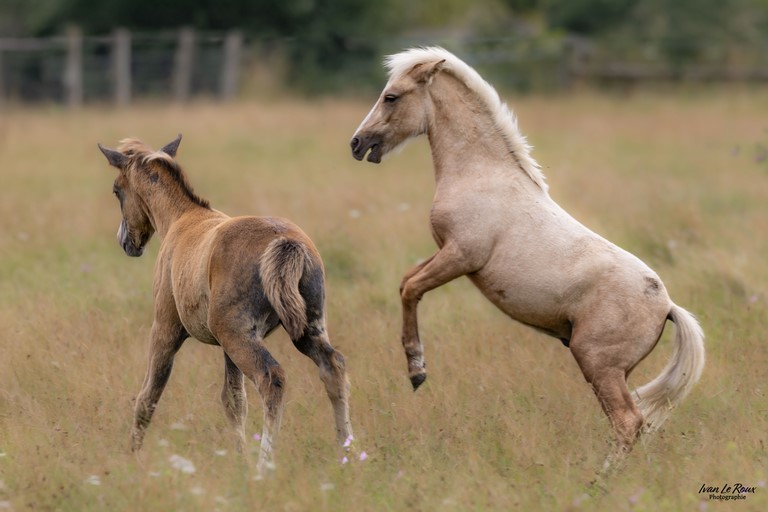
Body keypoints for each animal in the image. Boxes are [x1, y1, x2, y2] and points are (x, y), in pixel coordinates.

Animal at [97, 135, 353, 475]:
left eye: (117, 190)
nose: (126, 242)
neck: (183, 218)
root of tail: (286, 242)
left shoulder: (165, 328)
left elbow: (149, 395)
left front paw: (133, 456)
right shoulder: (227, 348)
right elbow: (234, 401)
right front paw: (239, 459)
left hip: (238, 336)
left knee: (272, 378)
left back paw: (264, 465)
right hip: (303, 329)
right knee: (333, 367)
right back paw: (348, 452)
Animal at [350, 47, 705, 472]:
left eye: (391, 97)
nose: (356, 143)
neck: (481, 173)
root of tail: (667, 305)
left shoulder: (460, 257)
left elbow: (411, 290)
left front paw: (417, 370)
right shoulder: (444, 253)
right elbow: (406, 281)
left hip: (598, 364)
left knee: (628, 422)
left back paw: (599, 478)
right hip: (613, 371)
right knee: (635, 422)